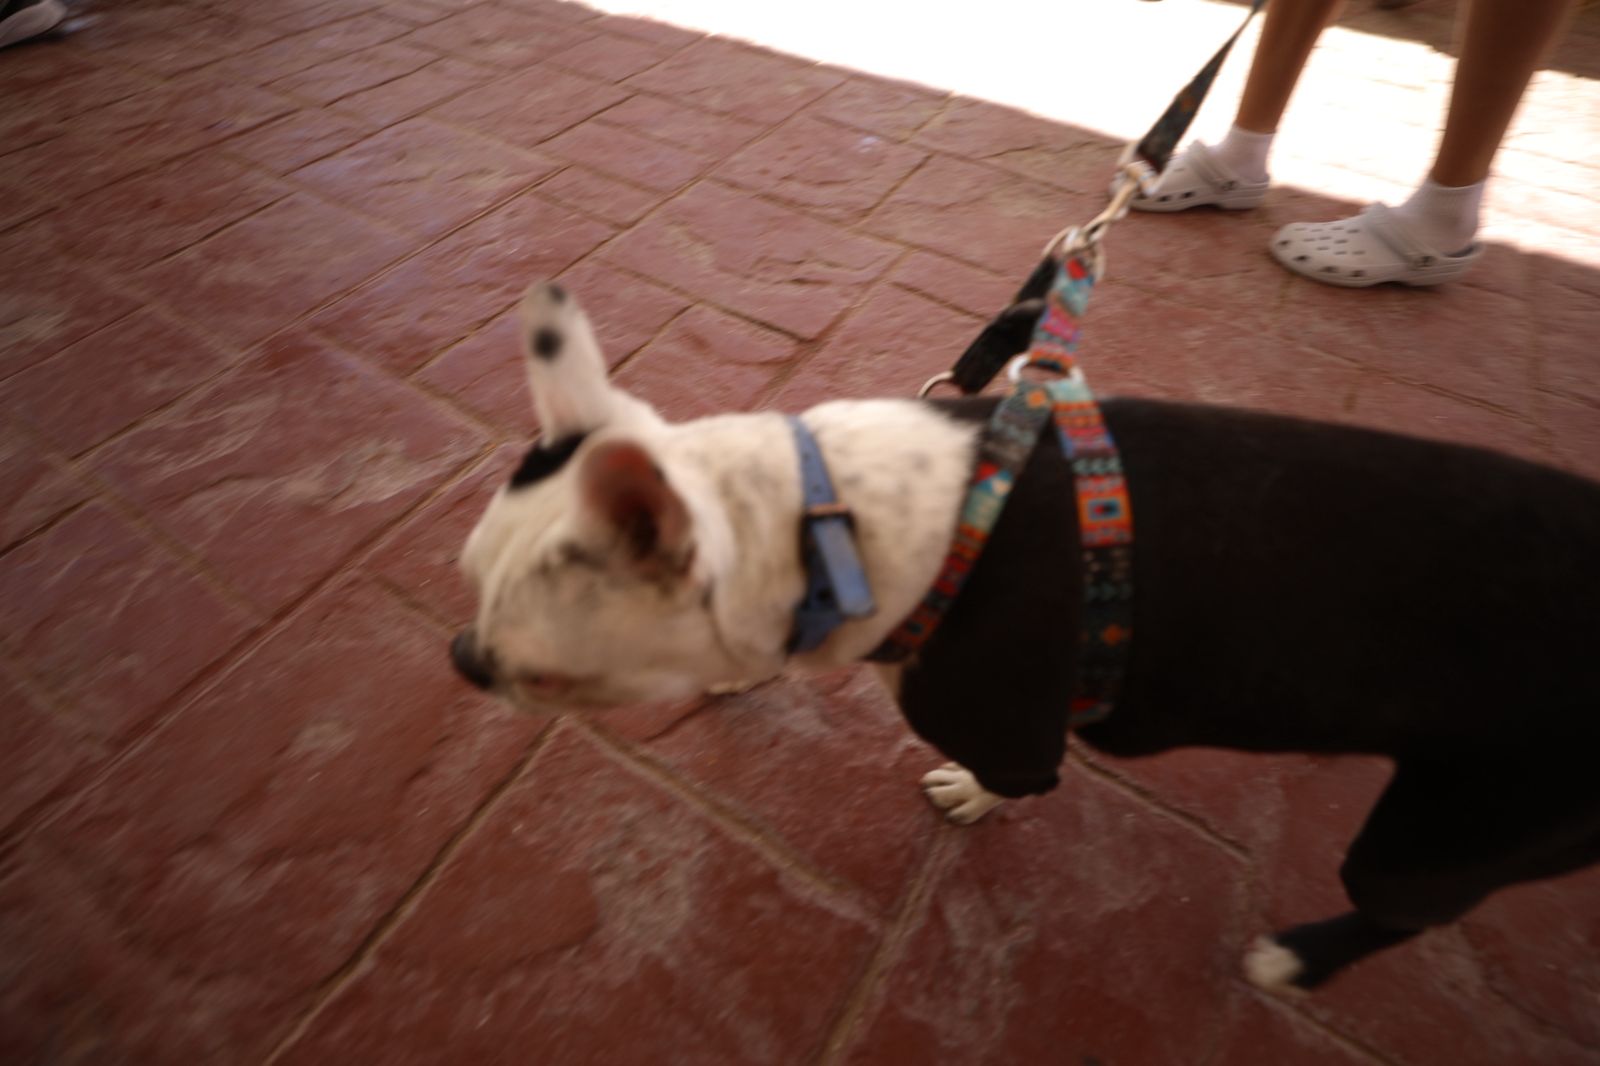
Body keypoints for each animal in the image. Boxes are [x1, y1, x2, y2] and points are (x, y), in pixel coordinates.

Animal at [452, 280, 1600, 992]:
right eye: (464, 583)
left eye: (542, 676)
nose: (462, 658)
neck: (835, 519)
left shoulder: (1012, 730)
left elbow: (1013, 778)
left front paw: (970, 793)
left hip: (1452, 823)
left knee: (1401, 907)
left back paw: (1292, 961)